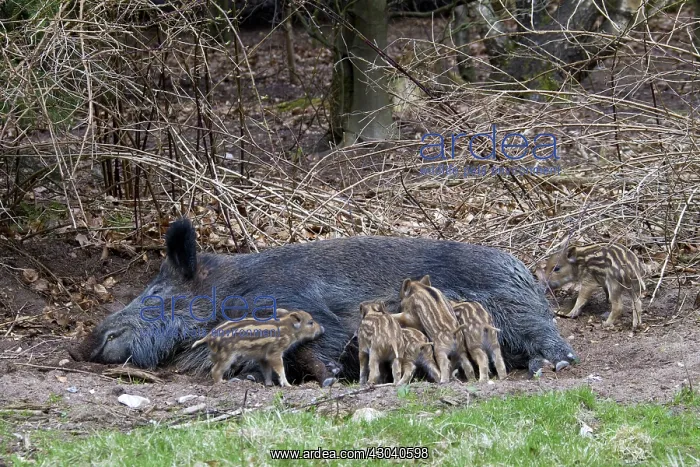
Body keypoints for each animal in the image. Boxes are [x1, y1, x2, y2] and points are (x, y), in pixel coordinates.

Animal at [191, 308, 323, 385]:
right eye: (311, 322)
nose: (323, 329)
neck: (287, 328)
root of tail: (208, 337)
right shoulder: (274, 352)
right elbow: (280, 369)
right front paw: (287, 385)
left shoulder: (262, 357)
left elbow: (267, 370)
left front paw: (269, 384)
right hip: (227, 356)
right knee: (215, 370)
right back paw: (223, 383)